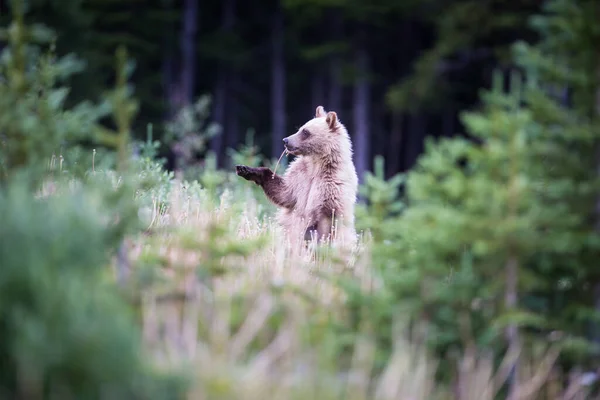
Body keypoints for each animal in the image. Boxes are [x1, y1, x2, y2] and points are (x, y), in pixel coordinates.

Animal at [234, 106, 356, 248]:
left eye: (305, 131)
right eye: (300, 127)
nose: (285, 140)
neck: (316, 165)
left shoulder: (332, 183)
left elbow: (325, 215)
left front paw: (309, 236)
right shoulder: (300, 176)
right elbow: (284, 193)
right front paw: (245, 169)